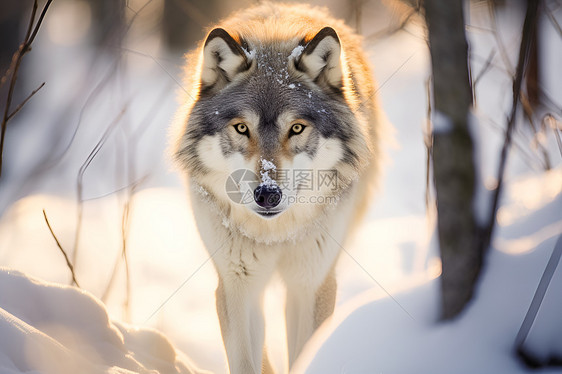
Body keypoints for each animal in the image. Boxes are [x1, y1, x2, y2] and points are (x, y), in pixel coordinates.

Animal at [170, 1, 380, 372]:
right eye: (242, 128)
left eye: (296, 128)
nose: (267, 194)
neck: (276, 234)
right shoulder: (236, 286)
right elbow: (246, 362)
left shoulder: (312, 285)